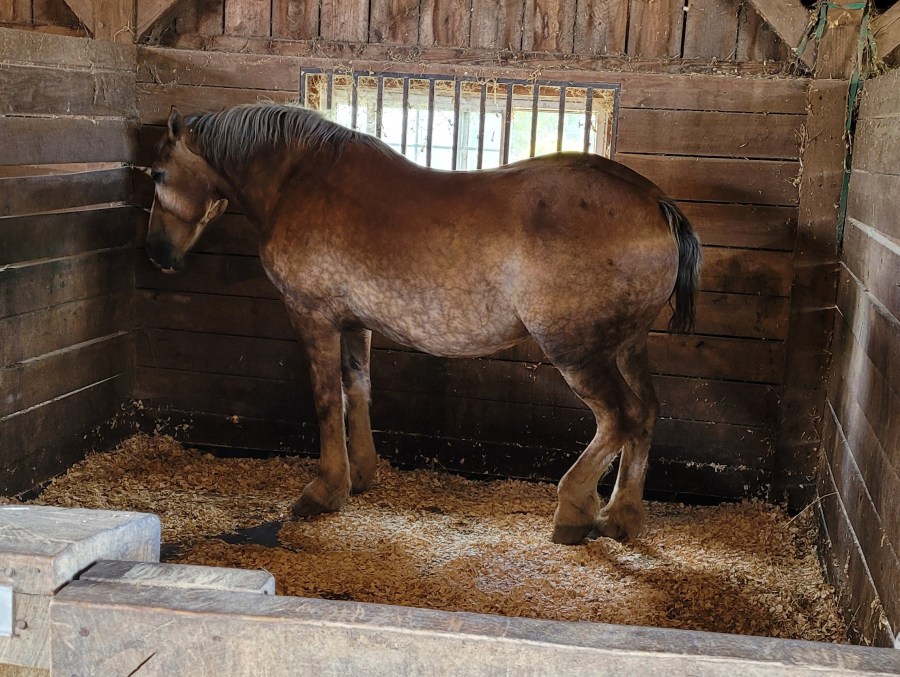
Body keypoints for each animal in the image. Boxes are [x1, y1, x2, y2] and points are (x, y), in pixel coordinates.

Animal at [146, 102, 701, 545]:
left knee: (620, 417)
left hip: (578, 352)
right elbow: (356, 389)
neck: (298, 179)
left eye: (156, 174)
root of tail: (655, 201)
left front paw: (324, 490)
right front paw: (361, 475)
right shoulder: (355, 323)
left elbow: (326, 400)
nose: (158, 254)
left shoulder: (313, 316)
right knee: (646, 414)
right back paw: (621, 517)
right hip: (626, 345)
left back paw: (574, 510)